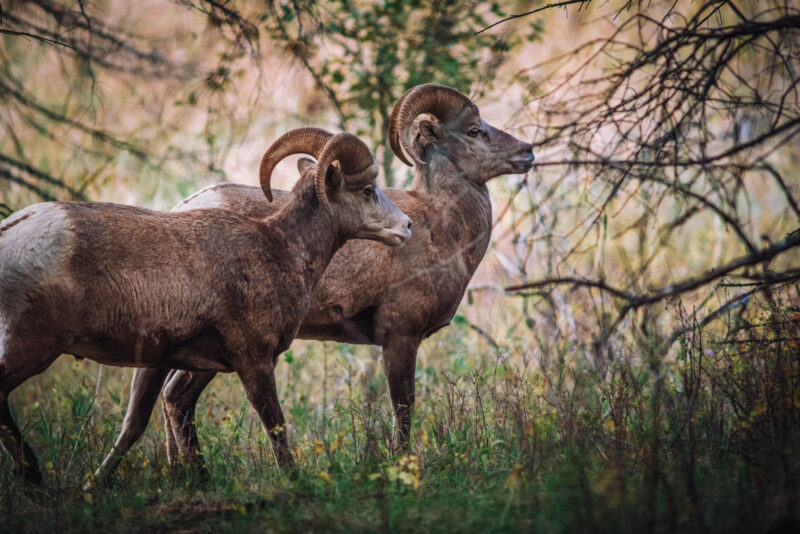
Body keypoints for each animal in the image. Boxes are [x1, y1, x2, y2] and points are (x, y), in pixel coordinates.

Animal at [0, 127, 412, 484]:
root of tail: (13, 232)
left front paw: (94, 486)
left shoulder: (162, 362)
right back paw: (31, 474)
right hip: (32, 346)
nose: (407, 226)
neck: (280, 249)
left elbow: (135, 424)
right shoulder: (254, 360)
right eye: (369, 190)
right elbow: (276, 427)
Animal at [122, 82, 536, 468]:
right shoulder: (400, 338)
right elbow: (403, 412)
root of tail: (185, 209)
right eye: (473, 130)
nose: (528, 151)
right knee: (177, 398)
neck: (439, 228)